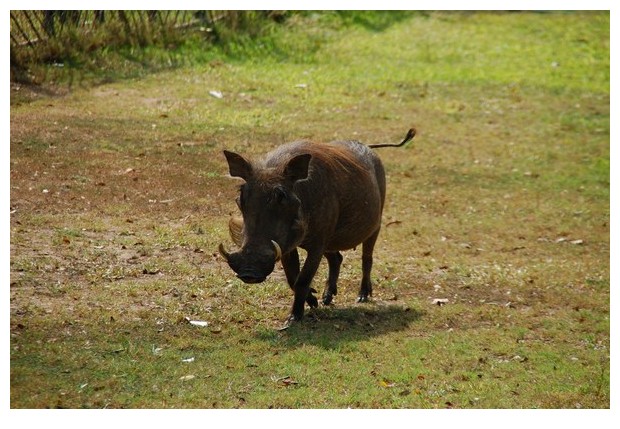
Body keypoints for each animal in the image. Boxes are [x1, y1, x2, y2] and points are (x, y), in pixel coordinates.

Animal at [219, 127, 416, 324]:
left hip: (374, 227)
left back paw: (362, 296)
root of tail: (368, 146)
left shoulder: (317, 245)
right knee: (336, 258)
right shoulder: (287, 246)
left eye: (282, 196)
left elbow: (303, 279)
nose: (249, 273)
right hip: (330, 240)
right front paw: (313, 301)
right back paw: (327, 298)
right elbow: (292, 278)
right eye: (241, 196)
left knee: (366, 259)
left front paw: (294, 317)